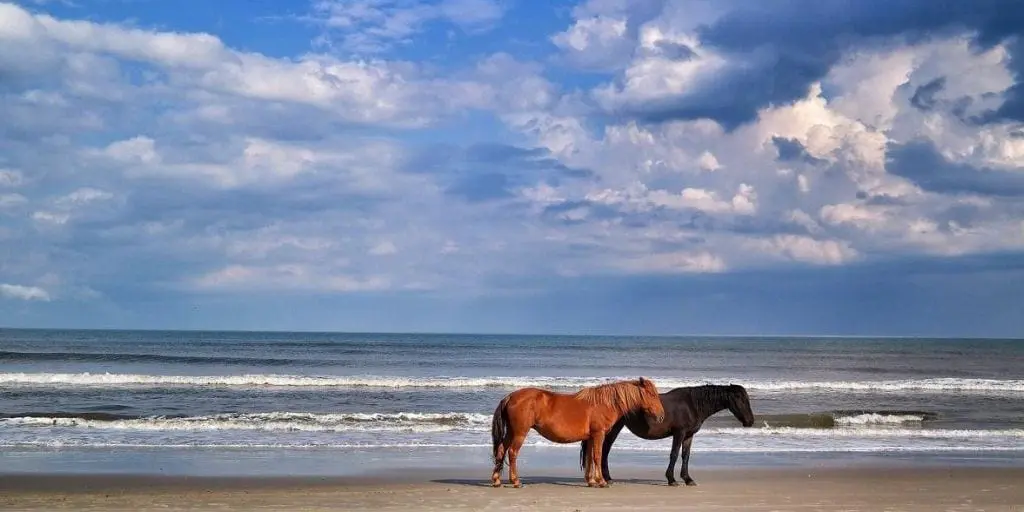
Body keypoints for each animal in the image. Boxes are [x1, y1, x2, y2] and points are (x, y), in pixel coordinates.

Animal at [490, 377, 666, 488]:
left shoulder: (590, 437)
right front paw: (601, 481)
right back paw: (516, 481)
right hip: (520, 432)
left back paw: (496, 480)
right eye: (651, 394)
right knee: (512, 453)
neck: (604, 403)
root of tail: (510, 397)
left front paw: (591, 481)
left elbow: (589, 458)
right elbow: (597, 457)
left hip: (511, 432)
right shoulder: (599, 434)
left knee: (501, 450)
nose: (661, 416)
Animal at [580, 383, 755, 486]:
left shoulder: (688, 435)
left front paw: (688, 479)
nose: (750, 421)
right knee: (604, 450)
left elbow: (686, 456)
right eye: (740, 399)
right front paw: (671, 479)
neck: (692, 405)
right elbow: (674, 454)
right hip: (613, 429)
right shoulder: (679, 433)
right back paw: (607, 478)